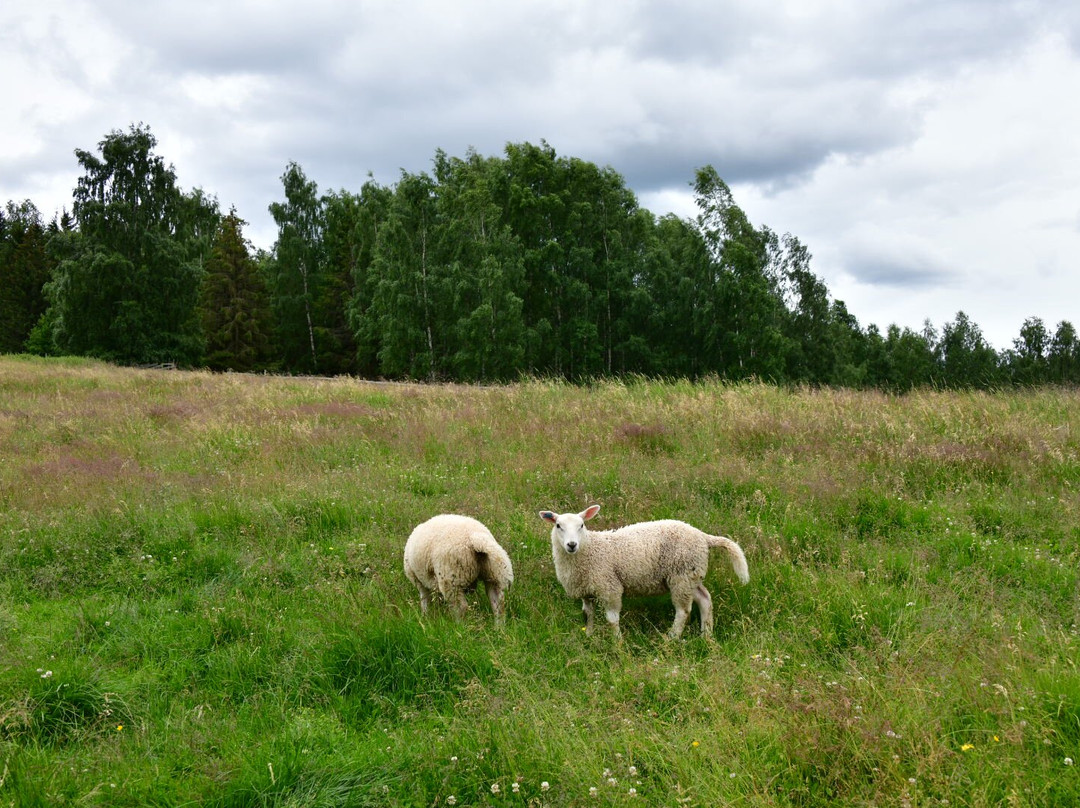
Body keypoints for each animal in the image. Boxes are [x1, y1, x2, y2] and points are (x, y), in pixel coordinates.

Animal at [544, 505, 747, 639]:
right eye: (558, 526)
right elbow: (587, 615)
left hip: (681, 575)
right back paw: (706, 636)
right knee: (705, 599)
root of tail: (703, 536)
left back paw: (672, 638)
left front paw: (617, 643)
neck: (591, 549)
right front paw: (589, 637)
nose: (571, 545)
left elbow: (612, 619)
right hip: (691, 574)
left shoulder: (609, 587)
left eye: (582, 525)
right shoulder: (586, 590)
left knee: (683, 611)